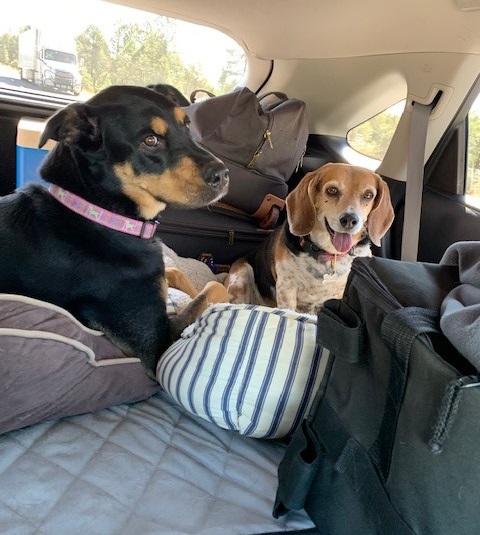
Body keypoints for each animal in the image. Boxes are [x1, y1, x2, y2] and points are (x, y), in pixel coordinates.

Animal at [0, 86, 231, 374]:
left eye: (186, 126)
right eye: (150, 141)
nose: (224, 174)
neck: (100, 216)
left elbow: (179, 275)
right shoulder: (158, 348)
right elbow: (213, 287)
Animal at [225, 161, 394, 316]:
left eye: (368, 195)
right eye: (332, 190)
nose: (350, 219)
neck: (329, 254)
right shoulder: (286, 289)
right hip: (241, 277)